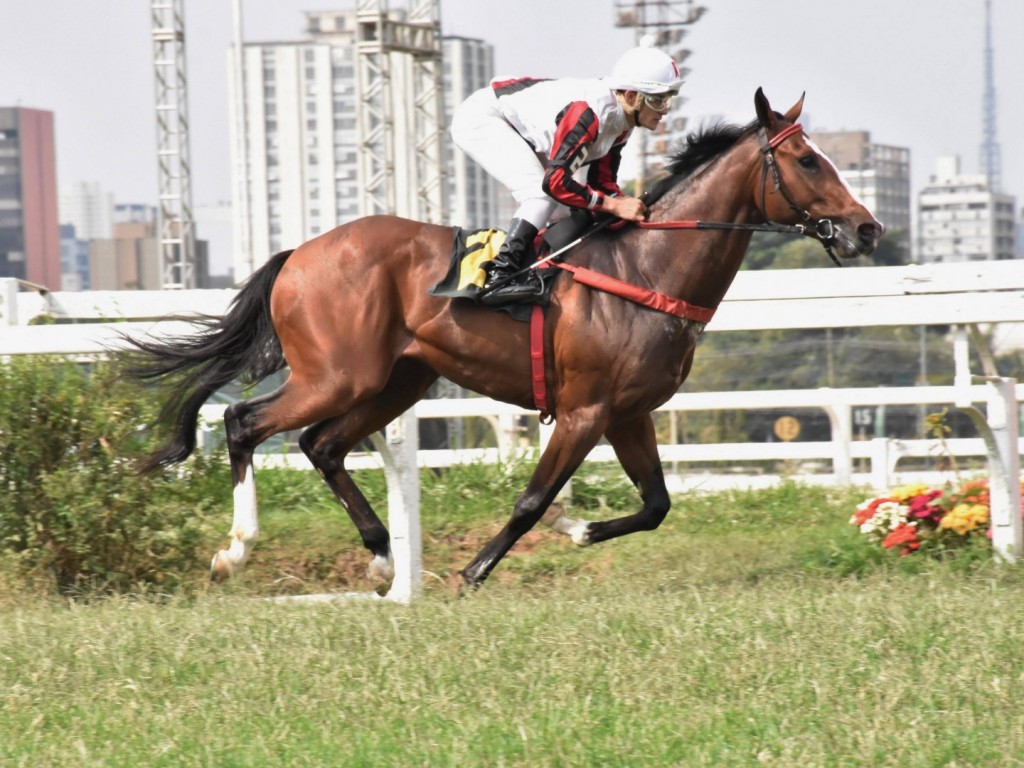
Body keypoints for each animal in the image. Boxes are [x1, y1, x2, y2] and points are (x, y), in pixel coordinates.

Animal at [125, 91, 880, 593]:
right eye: (809, 160)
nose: (867, 228)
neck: (645, 270)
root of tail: (298, 255)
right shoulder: (583, 411)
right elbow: (532, 500)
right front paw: (477, 568)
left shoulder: (628, 413)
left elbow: (657, 505)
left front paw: (580, 531)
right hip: (337, 375)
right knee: (242, 420)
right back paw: (237, 550)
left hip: (398, 380)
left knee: (322, 445)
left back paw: (381, 557)